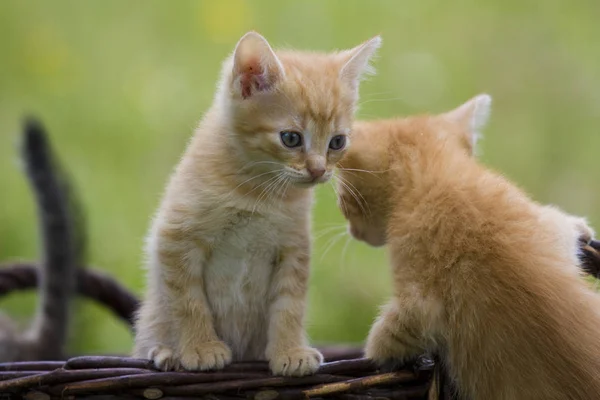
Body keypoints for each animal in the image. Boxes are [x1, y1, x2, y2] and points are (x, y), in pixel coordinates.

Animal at [134, 30, 382, 376]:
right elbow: (187, 300)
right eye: (290, 138)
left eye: (337, 142)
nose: (319, 170)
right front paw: (201, 348)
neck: (258, 192)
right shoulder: (175, 237)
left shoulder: (293, 249)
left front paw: (290, 351)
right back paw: (165, 352)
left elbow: (289, 306)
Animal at [336, 95, 600, 398]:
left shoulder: (417, 301)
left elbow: (387, 334)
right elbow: (560, 226)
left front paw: (377, 354)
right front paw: (580, 228)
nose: (352, 231)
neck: (437, 180)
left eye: (343, 200)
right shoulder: (543, 225)